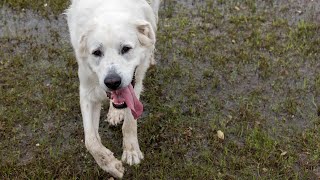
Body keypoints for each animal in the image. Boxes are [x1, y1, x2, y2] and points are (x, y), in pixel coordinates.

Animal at [66, 0, 160, 177]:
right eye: (96, 52)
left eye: (126, 49)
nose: (112, 82)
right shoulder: (87, 91)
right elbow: (90, 140)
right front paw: (110, 164)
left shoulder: (136, 83)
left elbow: (130, 122)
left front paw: (131, 151)